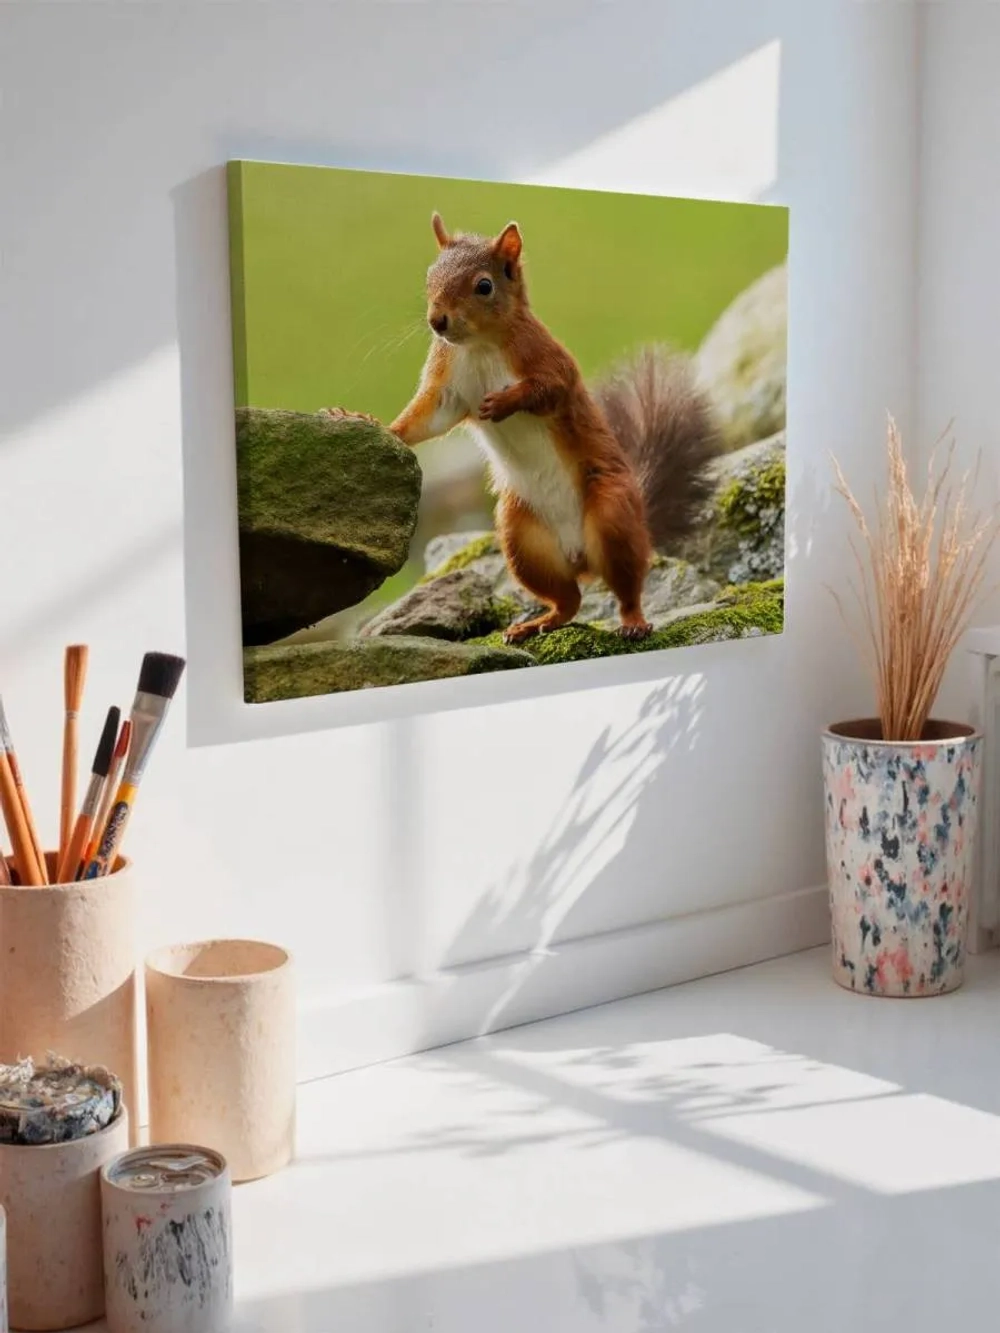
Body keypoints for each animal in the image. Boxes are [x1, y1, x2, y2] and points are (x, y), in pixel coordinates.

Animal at [356, 213, 721, 643]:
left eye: (484, 286)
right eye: (430, 276)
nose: (437, 321)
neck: (479, 345)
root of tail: (581, 556)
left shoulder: (547, 359)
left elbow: (548, 390)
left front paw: (503, 402)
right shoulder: (447, 386)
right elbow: (425, 419)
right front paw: (374, 425)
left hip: (612, 513)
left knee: (627, 585)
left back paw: (632, 621)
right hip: (522, 540)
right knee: (569, 600)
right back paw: (535, 623)